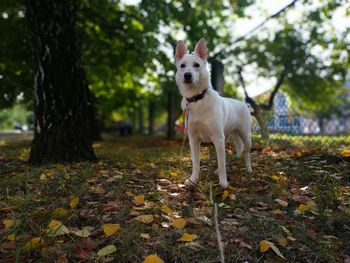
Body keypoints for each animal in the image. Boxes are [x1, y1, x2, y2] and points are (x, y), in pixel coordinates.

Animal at [175, 38, 252, 189]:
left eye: (196, 65)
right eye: (182, 66)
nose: (187, 75)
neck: (197, 99)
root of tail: (243, 103)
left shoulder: (217, 138)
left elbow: (222, 164)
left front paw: (223, 182)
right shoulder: (193, 139)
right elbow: (196, 163)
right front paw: (193, 179)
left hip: (245, 137)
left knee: (246, 153)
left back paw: (248, 169)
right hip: (225, 137)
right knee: (224, 155)